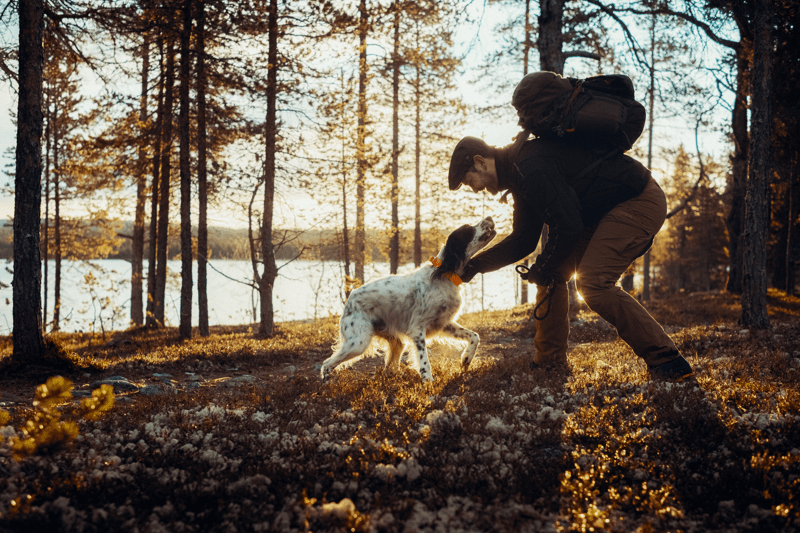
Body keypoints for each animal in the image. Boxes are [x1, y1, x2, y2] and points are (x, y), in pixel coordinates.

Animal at [318, 216, 494, 382]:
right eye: (468, 229)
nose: (490, 218)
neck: (445, 275)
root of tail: (350, 300)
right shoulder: (417, 329)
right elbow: (424, 360)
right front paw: (428, 381)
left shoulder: (444, 324)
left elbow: (474, 336)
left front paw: (466, 359)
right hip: (358, 342)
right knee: (326, 363)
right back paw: (327, 384)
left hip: (395, 342)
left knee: (388, 366)